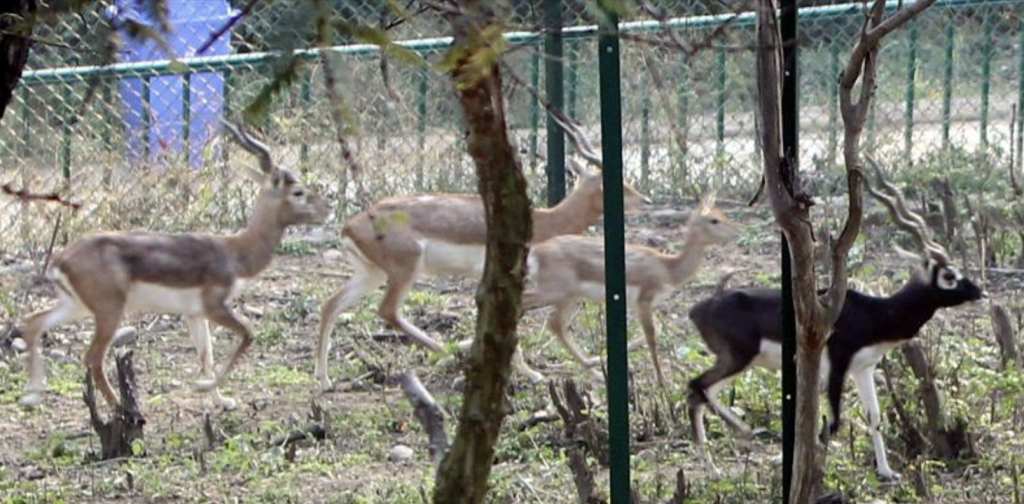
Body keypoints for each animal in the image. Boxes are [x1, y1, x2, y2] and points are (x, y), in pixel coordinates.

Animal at [19, 121, 329, 409]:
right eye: (298, 192)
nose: (327, 210)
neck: (234, 252)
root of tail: (60, 259)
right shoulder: (215, 307)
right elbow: (248, 334)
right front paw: (205, 387)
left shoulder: (195, 314)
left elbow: (207, 356)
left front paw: (221, 400)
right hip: (109, 310)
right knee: (92, 357)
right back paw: (120, 407)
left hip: (77, 305)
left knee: (34, 322)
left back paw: (32, 395)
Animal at [520, 193, 737, 385]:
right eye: (714, 220)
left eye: (723, 215)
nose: (737, 232)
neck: (668, 268)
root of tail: (536, 252)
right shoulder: (644, 299)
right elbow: (651, 336)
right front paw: (663, 382)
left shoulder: (638, 304)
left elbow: (653, 331)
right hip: (554, 291)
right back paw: (535, 374)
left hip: (571, 296)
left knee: (556, 324)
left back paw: (594, 371)